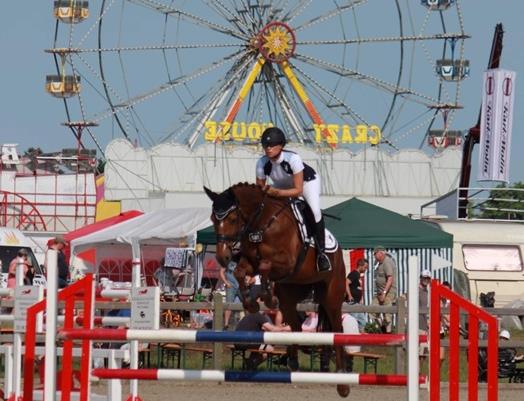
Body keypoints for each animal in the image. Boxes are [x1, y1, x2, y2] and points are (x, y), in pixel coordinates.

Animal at [204, 183, 350, 398]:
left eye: (232, 219)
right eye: (213, 219)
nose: (223, 257)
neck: (261, 224)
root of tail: (339, 253)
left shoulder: (286, 263)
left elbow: (265, 265)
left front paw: (267, 298)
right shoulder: (250, 262)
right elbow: (241, 272)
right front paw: (253, 303)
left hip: (331, 296)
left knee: (337, 330)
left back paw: (343, 382)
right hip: (290, 294)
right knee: (296, 325)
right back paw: (293, 363)